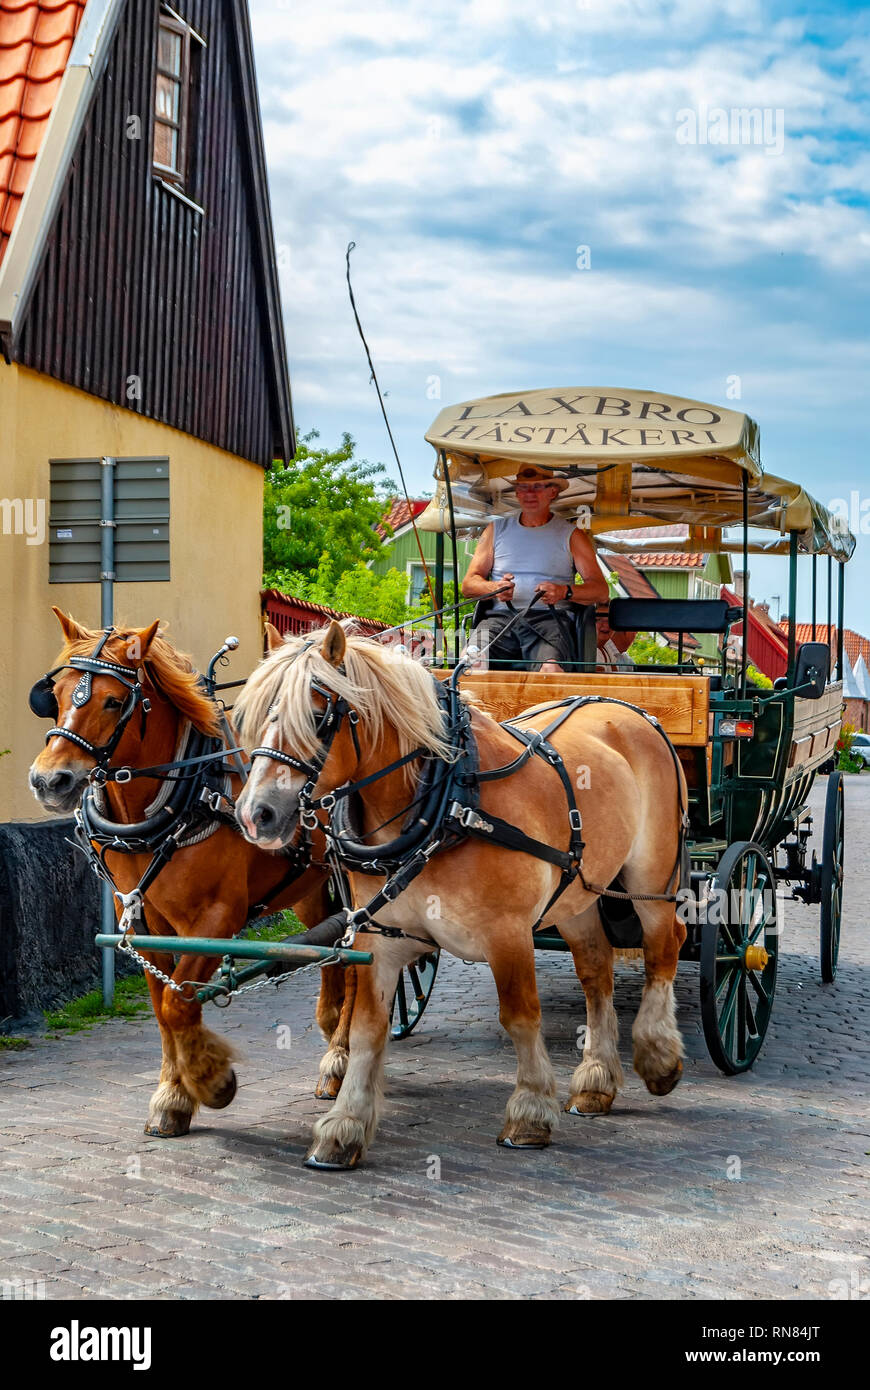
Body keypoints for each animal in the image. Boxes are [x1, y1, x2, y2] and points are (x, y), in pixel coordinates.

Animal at [27, 614, 346, 1134]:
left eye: (114, 701)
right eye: (53, 696)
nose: (49, 780)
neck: (187, 796)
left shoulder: (217, 918)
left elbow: (179, 1005)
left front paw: (212, 1081)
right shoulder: (142, 922)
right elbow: (164, 1006)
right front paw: (173, 1095)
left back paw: (340, 1057)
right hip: (311, 888)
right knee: (333, 956)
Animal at [233, 625, 686, 1167]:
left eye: (319, 713)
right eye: (253, 715)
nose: (255, 814)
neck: (447, 800)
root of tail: (621, 705)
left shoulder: (508, 933)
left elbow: (520, 1015)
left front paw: (530, 1111)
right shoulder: (381, 934)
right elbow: (368, 1025)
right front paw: (345, 1125)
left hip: (651, 879)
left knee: (664, 948)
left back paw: (658, 1056)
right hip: (575, 891)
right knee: (596, 972)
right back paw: (596, 1082)